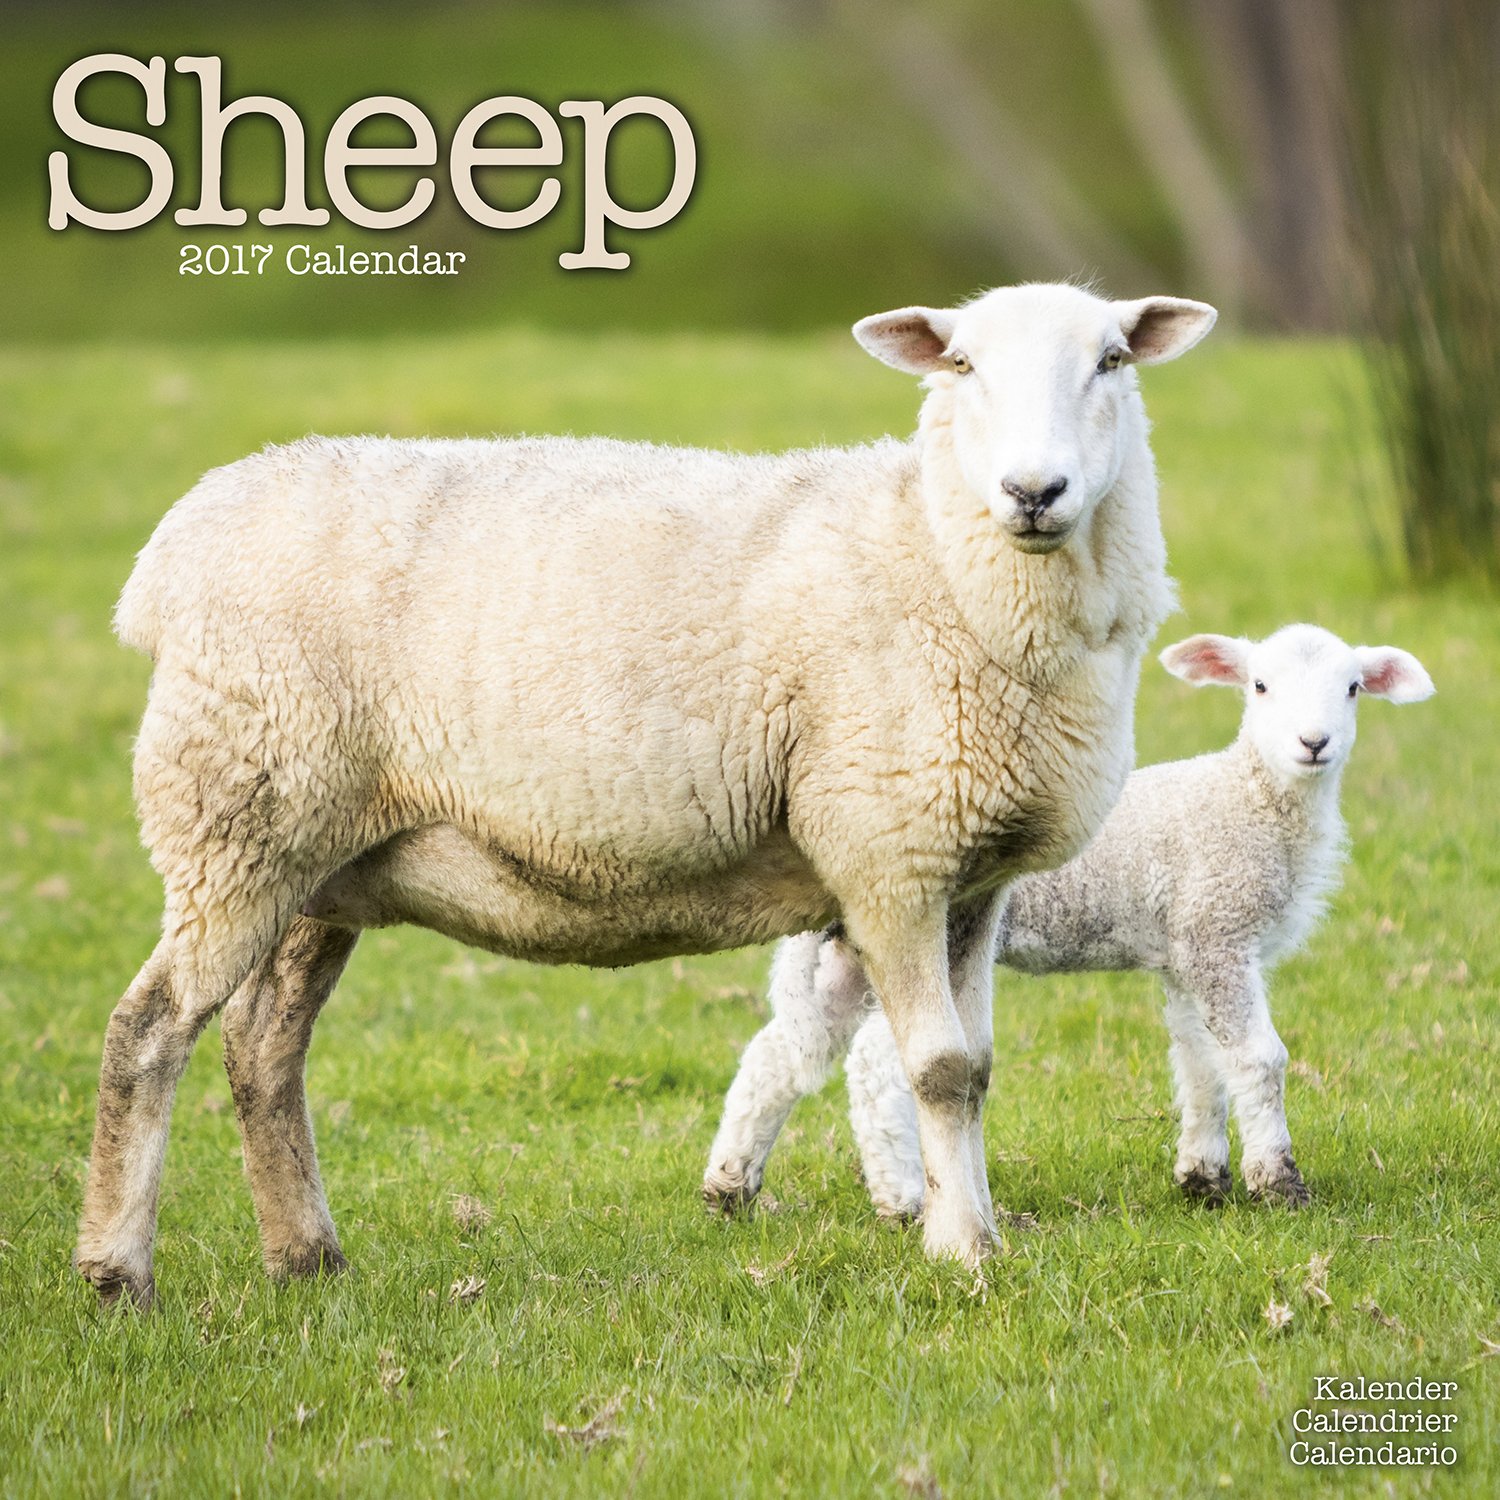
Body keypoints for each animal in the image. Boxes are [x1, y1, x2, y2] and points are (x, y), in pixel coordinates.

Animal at [77, 283, 1215, 1307]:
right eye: (963, 365)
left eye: (1113, 359)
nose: (1035, 491)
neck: (933, 551)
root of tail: (171, 553)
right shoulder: (888, 850)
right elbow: (935, 1068)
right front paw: (966, 1253)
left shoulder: (974, 875)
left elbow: (973, 1066)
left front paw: (967, 1229)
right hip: (239, 813)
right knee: (152, 1027)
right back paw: (116, 1273)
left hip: (321, 857)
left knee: (264, 1046)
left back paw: (305, 1257)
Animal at [704, 624, 1433, 1217]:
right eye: (1259, 685)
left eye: (1353, 688)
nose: (1314, 743)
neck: (1248, 800)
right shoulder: (1217, 931)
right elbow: (1259, 1059)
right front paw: (1279, 1185)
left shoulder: (1184, 949)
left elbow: (1199, 1062)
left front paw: (1202, 1179)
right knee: (876, 1068)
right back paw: (904, 1200)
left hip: (849, 949)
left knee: (780, 1054)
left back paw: (729, 1187)